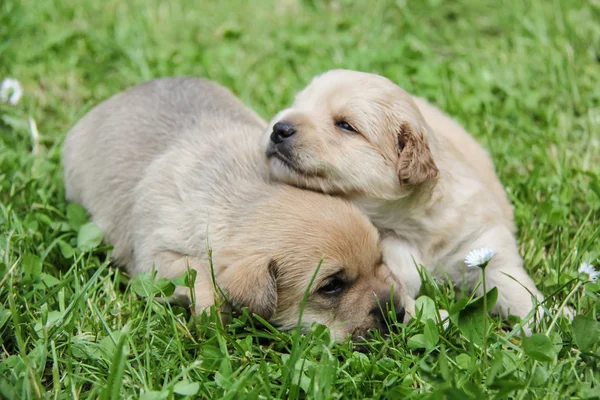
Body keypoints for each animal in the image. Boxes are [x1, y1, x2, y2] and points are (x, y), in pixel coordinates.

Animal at [63, 76, 406, 340]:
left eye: (380, 260)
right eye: (331, 286)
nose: (398, 313)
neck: (247, 203)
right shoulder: (155, 257)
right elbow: (199, 274)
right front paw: (214, 317)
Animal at [260, 69, 548, 324]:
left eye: (345, 125)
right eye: (297, 104)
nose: (278, 129)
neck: (407, 224)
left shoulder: (480, 244)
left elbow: (516, 287)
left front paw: (547, 322)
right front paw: (441, 318)